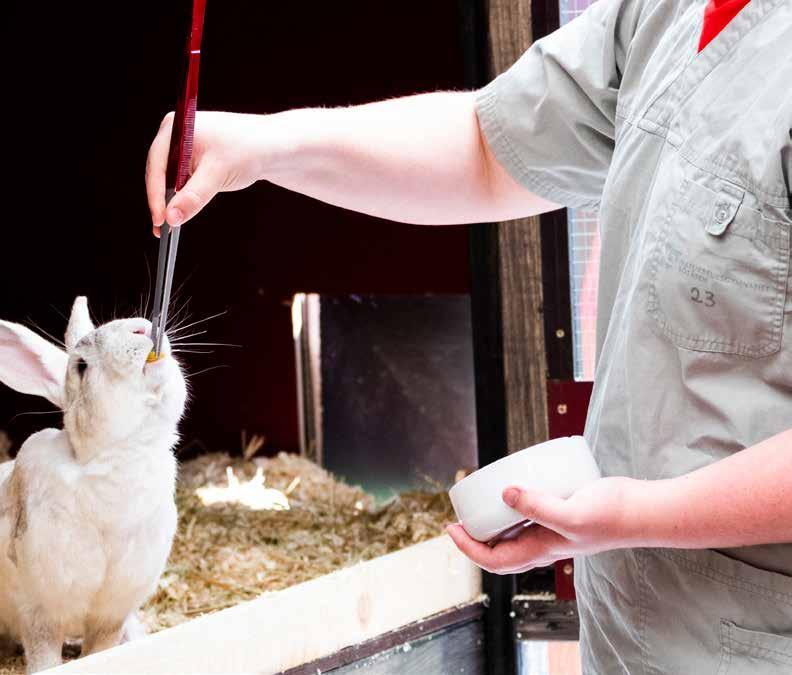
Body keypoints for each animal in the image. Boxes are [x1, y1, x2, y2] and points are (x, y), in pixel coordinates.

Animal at [0, 298, 186, 672]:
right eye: (81, 366)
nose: (142, 327)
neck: (123, 454)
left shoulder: (110, 614)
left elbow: (102, 651)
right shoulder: (39, 610)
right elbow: (44, 655)